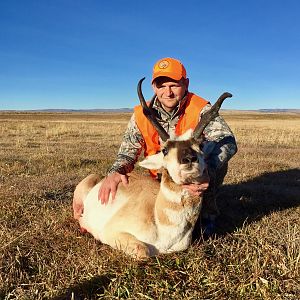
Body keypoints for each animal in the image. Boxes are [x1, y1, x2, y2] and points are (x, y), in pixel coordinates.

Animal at [72, 78, 232, 258]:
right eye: (165, 149)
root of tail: (100, 178)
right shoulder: (112, 232)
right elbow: (143, 250)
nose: (189, 159)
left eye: (201, 145)